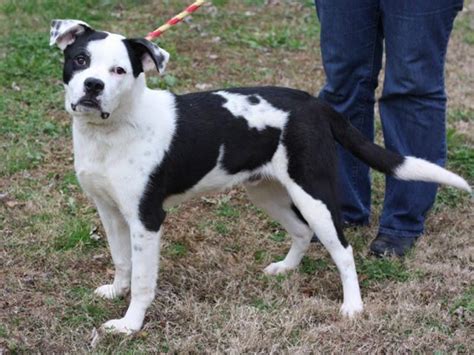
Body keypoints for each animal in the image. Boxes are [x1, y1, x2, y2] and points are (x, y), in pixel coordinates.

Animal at [50, 20, 472, 336]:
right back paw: (286, 269)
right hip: (266, 190)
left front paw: (130, 325)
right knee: (301, 231)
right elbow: (122, 261)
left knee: (342, 249)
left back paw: (352, 306)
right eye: (81, 59)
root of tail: (314, 103)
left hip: (314, 193)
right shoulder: (109, 210)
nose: (93, 86)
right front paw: (115, 291)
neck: (113, 130)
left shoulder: (146, 219)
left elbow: (142, 280)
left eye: (119, 70)